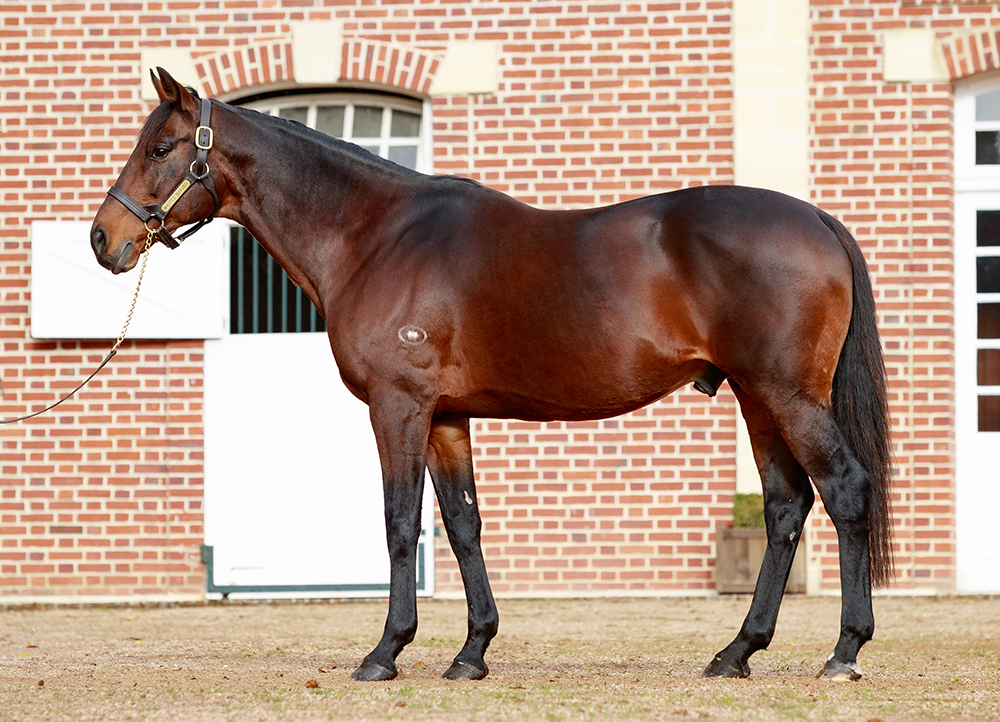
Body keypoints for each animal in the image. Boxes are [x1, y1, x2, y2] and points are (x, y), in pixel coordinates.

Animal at [90, 68, 893, 683]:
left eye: (160, 147)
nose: (104, 239)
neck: (376, 236)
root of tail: (819, 220)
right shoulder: (446, 417)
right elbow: (464, 525)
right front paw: (471, 653)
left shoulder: (398, 408)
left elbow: (400, 525)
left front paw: (385, 652)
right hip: (759, 400)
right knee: (787, 509)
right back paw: (736, 653)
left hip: (789, 397)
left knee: (845, 491)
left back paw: (843, 652)